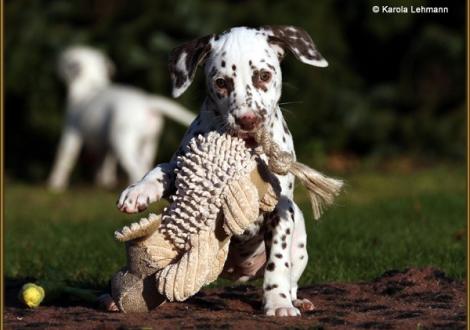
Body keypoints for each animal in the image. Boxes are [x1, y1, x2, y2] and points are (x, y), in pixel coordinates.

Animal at [47, 45, 195, 191]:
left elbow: (64, 157)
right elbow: (105, 163)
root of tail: (148, 103)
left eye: (65, 58)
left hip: (123, 142)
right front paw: (104, 182)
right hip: (148, 143)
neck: (91, 84)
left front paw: (55, 184)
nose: (56, 57)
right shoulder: (105, 144)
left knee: (135, 167)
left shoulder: (71, 132)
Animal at [116, 26, 328, 318]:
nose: (248, 120)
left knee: (291, 277)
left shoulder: (281, 209)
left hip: (300, 244)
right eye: (221, 82)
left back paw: (297, 300)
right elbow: (161, 169)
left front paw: (278, 303)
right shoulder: (184, 166)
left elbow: (277, 263)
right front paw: (138, 191)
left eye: (264, 75)